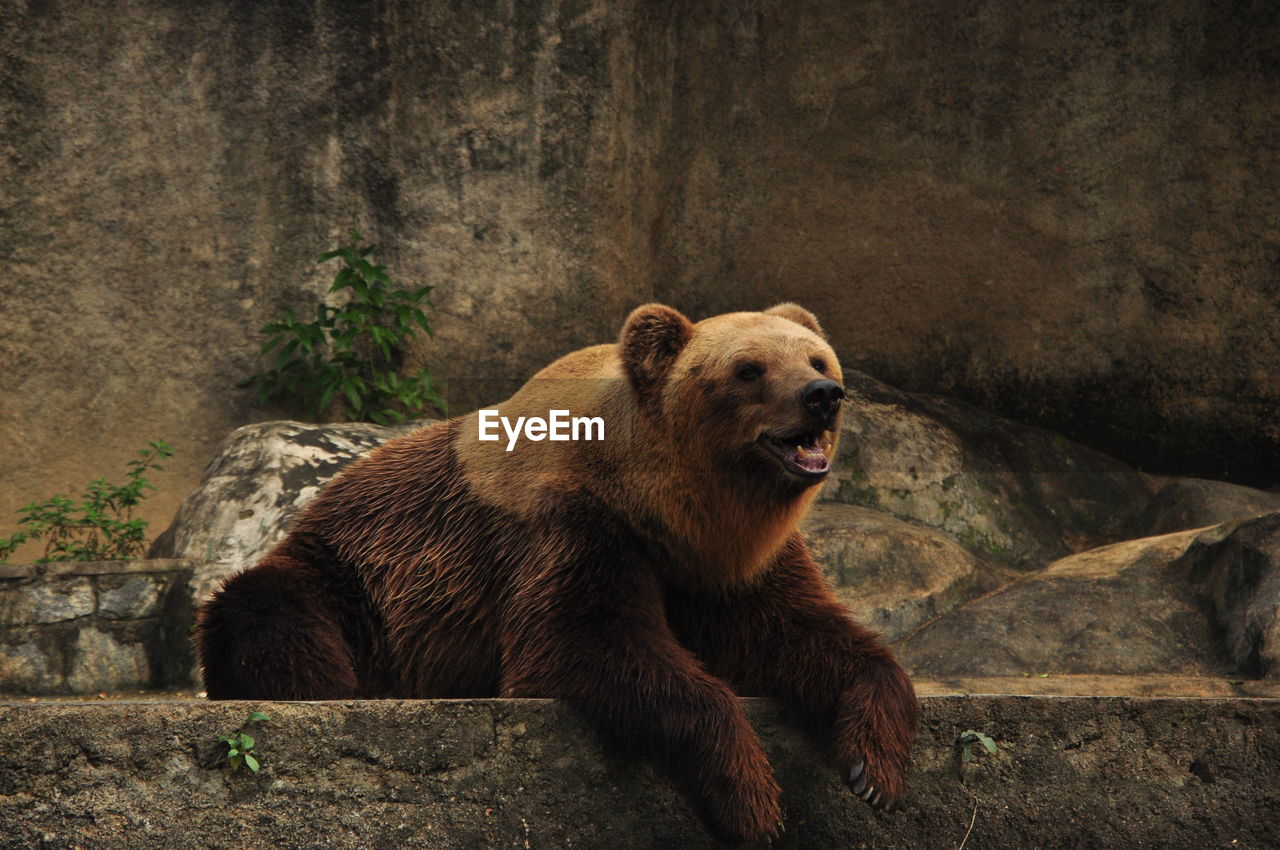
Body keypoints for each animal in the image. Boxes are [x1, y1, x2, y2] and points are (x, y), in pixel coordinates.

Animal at [194, 303, 916, 844]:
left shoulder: (730, 562)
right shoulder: (567, 527)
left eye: (816, 358)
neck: (665, 502)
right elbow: (585, 642)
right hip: (346, 582)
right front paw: (753, 798)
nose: (823, 396)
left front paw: (874, 766)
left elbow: (798, 632)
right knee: (272, 616)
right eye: (749, 369)